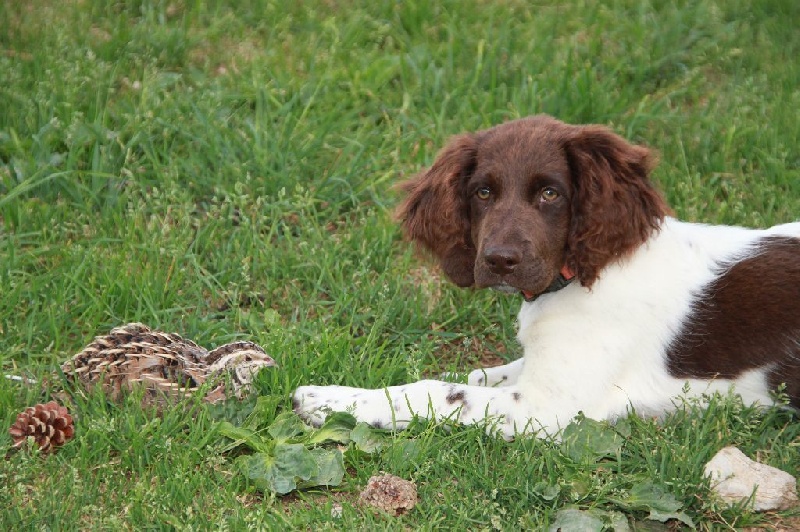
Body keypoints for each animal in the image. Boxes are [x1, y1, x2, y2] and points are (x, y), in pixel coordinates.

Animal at [292, 114, 800, 438]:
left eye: (550, 194)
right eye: (482, 192)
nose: (499, 260)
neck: (578, 277)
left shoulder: (549, 407)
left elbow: (439, 392)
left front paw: (327, 400)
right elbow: (473, 375)